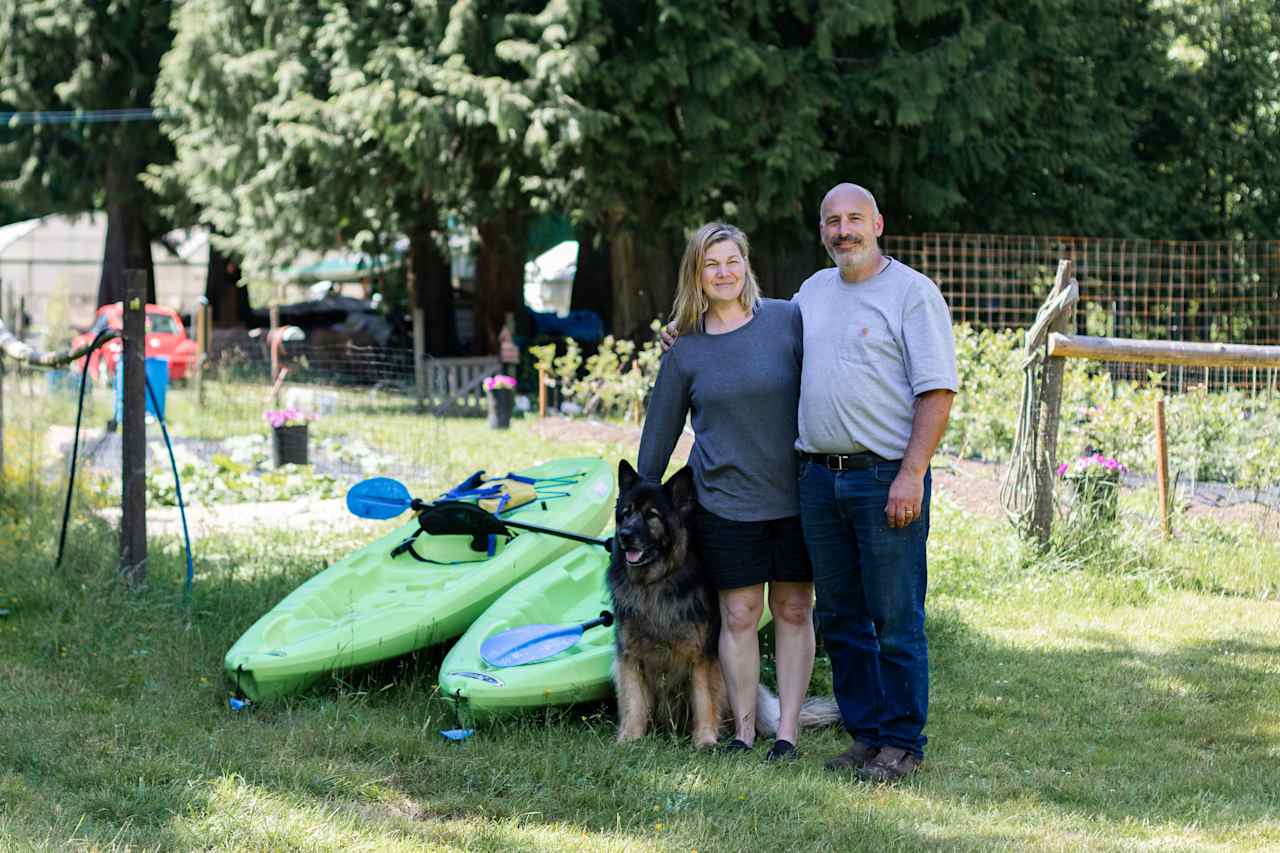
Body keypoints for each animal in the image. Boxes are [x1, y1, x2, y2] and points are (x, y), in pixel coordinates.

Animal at [606, 458, 839, 742]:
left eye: (652, 515)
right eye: (626, 513)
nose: (625, 535)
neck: (655, 584)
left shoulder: (702, 656)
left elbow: (704, 699)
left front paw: (705, 740)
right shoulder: (629, 657)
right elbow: (633, 702)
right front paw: (629, 739)